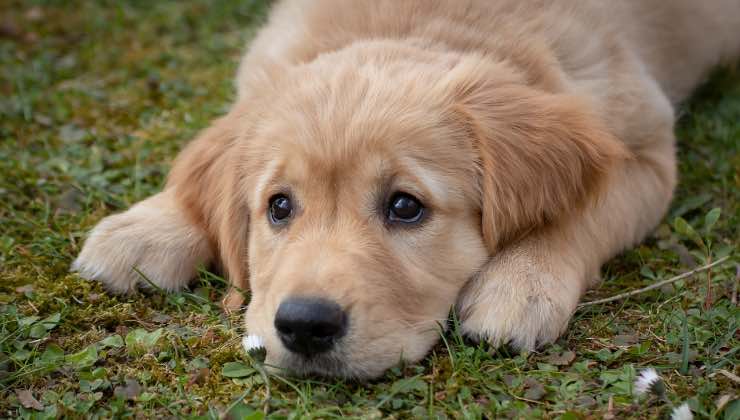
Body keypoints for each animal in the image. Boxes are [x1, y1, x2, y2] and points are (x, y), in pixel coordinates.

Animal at [71, 0, 740, 378]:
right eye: (278, 206)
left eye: (405, 207)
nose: (304, 326)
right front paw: (147, 227)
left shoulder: (645, 148)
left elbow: (582, 211)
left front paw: (521, 282)